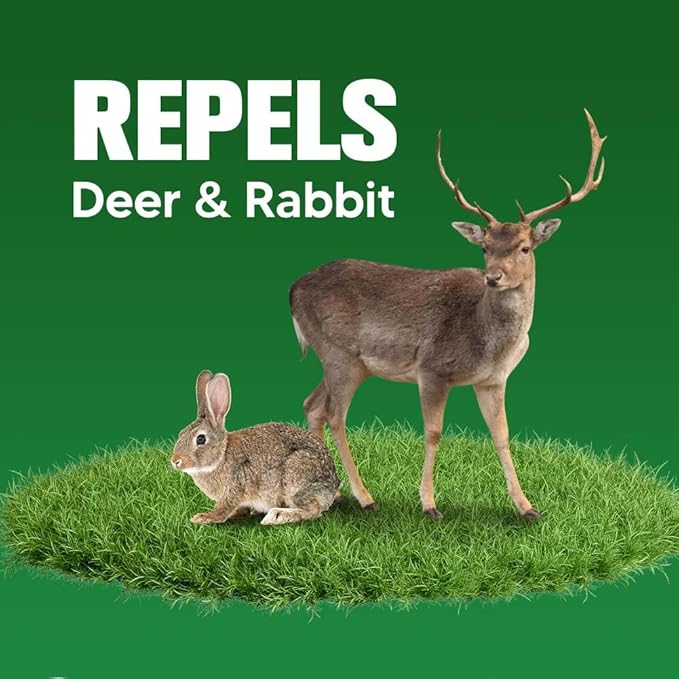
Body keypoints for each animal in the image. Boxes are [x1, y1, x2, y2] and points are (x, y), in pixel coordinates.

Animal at [171, 370, 340, 526]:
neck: (221, 456)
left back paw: (277, 516)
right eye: (181, 434)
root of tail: (333, 484)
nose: (175, 461)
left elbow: (224, 508)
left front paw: (204, 517)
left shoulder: (235, 487)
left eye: (200, 439)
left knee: (313, 510)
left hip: (296, 479)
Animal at [289, 110, 606, 520]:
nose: (493, 277)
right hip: (339, 353)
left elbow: (502, 435)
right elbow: (433, 432)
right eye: (485, 247)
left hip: (345, 361)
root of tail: (293, 290)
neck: (490, 342)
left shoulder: (493, 380)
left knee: (312, 405)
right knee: (334, 415)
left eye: (524, 247)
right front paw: (429, 504)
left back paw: (335, 494)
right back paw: (364, 497)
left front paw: (526, 507)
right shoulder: (432, 369)